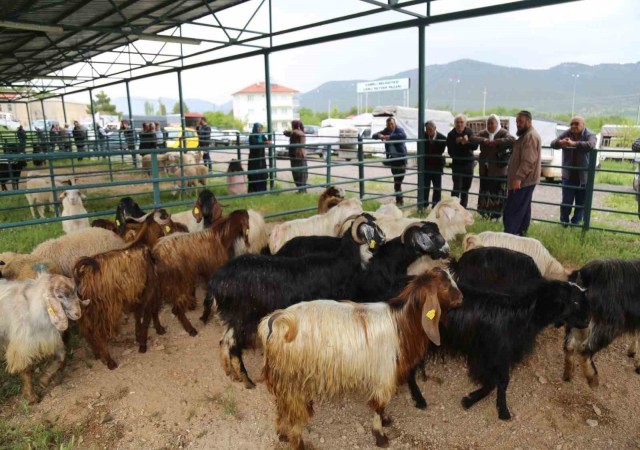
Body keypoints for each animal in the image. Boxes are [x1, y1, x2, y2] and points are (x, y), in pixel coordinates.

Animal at [0, 274, 86, 404]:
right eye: (59, 296)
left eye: (75, 291)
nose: (77, 314)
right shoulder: (22, 345)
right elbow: (26, 369)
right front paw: (31, 397)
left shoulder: (51, 338)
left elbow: (61, 357)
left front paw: (44, 380)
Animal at [74, 209, 182, 368]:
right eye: (170, 223)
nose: (177, 231)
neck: (145, 245)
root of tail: (83, 272)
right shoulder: (150, 290)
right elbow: (149, 314)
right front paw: (143, 344)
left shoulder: (139, 293)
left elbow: (140, 314)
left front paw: (144, 334)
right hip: (104, 308)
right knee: (98, 332)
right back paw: (109, 361)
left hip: (86, 309)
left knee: (87, 330)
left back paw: (97, 354)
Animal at [200, 213, 384, 388]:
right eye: (373, 227)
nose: (384, 239)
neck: (341, 261)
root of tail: (215, 281)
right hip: (243, 318)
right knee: (233, 346)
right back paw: (247, 380)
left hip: (232, 317)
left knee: (224, 341)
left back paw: (231, 373)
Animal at [564, 258, 640, 388]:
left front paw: (632, 353)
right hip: (607, 325)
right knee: (584, 351)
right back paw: (593, 379)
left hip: (578, 320)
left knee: (569, 346)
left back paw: (568, 375)